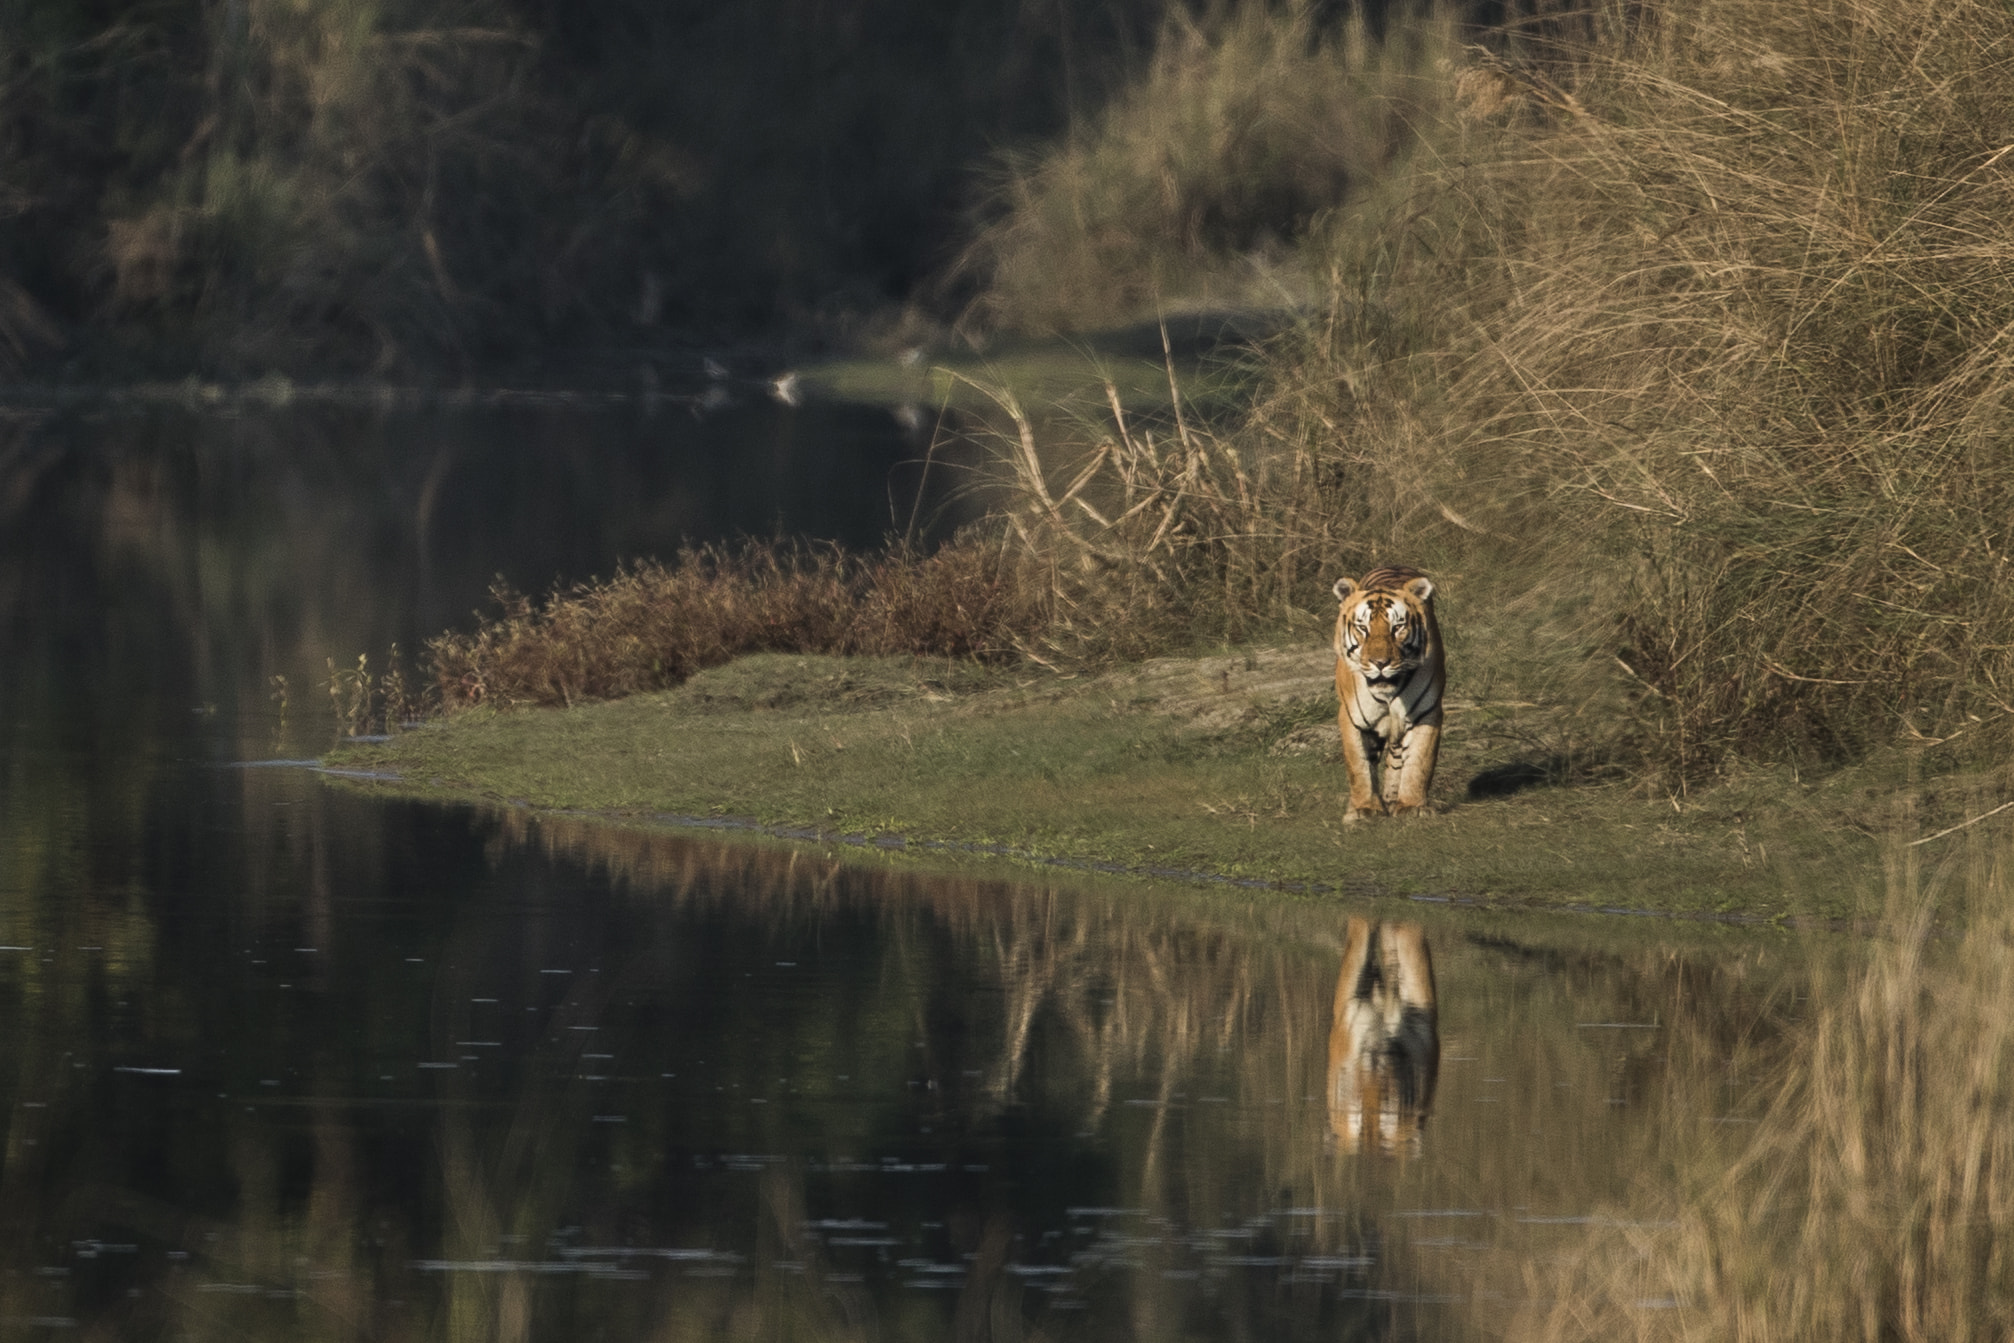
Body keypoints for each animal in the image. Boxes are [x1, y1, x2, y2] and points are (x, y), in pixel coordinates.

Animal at [1329, 567, 1442, 821]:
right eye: (1363, 628)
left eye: (1397, 628)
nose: (1380, 663)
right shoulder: (1352, 719)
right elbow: (1359, 767)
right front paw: (1364, 810)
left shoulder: (1427, 713)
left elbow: (1419, 762)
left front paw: (1412, 806)